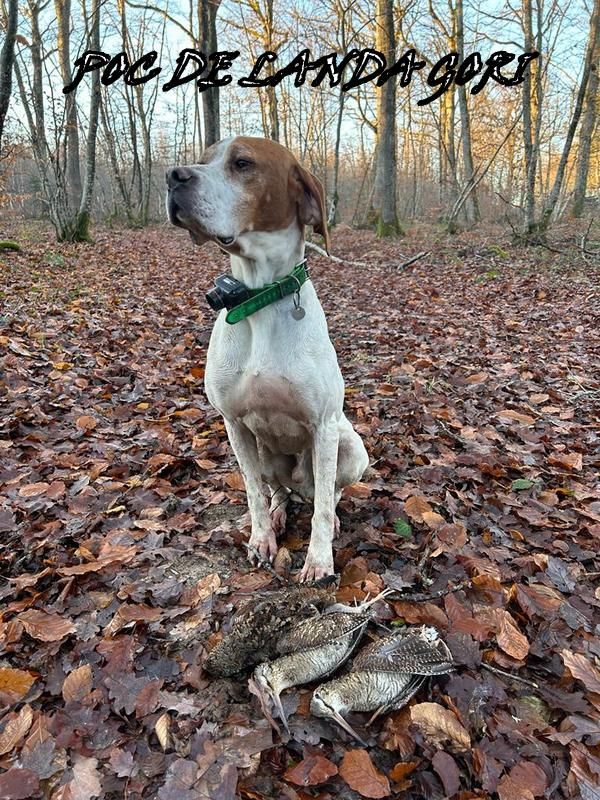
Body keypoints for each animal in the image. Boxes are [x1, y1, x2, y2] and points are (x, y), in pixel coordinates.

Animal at [166, 136, 368, 576]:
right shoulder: (234, 424)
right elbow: (253, 493)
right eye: (203, 159)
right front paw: (261, 539)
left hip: (349, 447)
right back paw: (278, 513)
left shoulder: (324, 426)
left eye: (242, 163)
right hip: (265, 453)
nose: (173, 175)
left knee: (327, 493)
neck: (260, 298)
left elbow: (322, 508)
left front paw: (319, 560)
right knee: (280, 491)